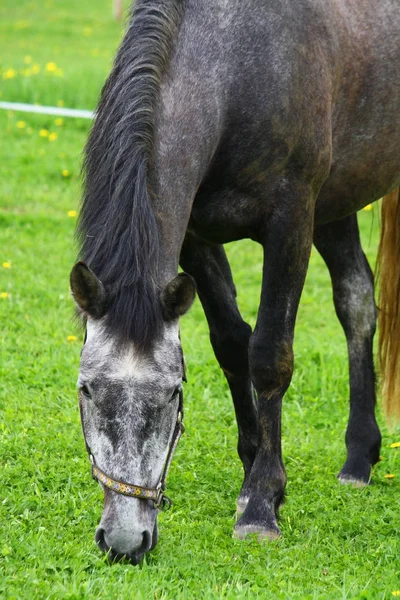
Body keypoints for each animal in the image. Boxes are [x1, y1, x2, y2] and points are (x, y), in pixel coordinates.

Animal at [69, 0, 400, 564]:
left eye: (172, 395)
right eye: (87, 390)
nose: (124, 540)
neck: (238, 65)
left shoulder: (291, 223)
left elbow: (268, 356)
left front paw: (261, 505)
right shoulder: (195, 238)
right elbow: (231, 343)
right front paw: (256, 467)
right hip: (339, 200)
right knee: (356, 300)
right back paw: (358, 458)